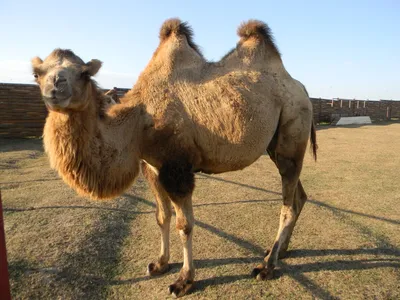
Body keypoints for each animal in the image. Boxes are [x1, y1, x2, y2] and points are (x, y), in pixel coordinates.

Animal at [31, 19, 318, 298]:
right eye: (37, 73)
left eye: (84, 73)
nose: (56, 88)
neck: (137, 123)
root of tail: (302, 88)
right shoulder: (152, 166)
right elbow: (162, 216)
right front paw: (160, 264)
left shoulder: (177, 168)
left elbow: (185, 224)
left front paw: (184, 280)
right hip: (276, 146)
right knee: (299, 196)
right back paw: (279, 251)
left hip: (293, 128)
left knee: (287, 203)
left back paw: (266, 266)